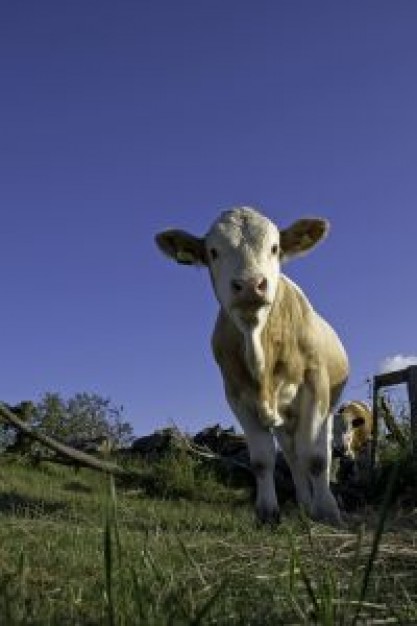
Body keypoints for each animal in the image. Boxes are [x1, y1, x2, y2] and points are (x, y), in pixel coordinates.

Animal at [156, 206, 348, 520]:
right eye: (213, 251)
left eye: (275, 247)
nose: (249, 285)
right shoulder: (236, 394)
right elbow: (262, 459)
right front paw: (268, 511)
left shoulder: (315, 382)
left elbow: (317, 457)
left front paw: (328, 513)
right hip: (285, 420)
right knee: (293, 456)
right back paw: (304, 503)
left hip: (329, 406)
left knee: (318, 449)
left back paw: (322, 503)